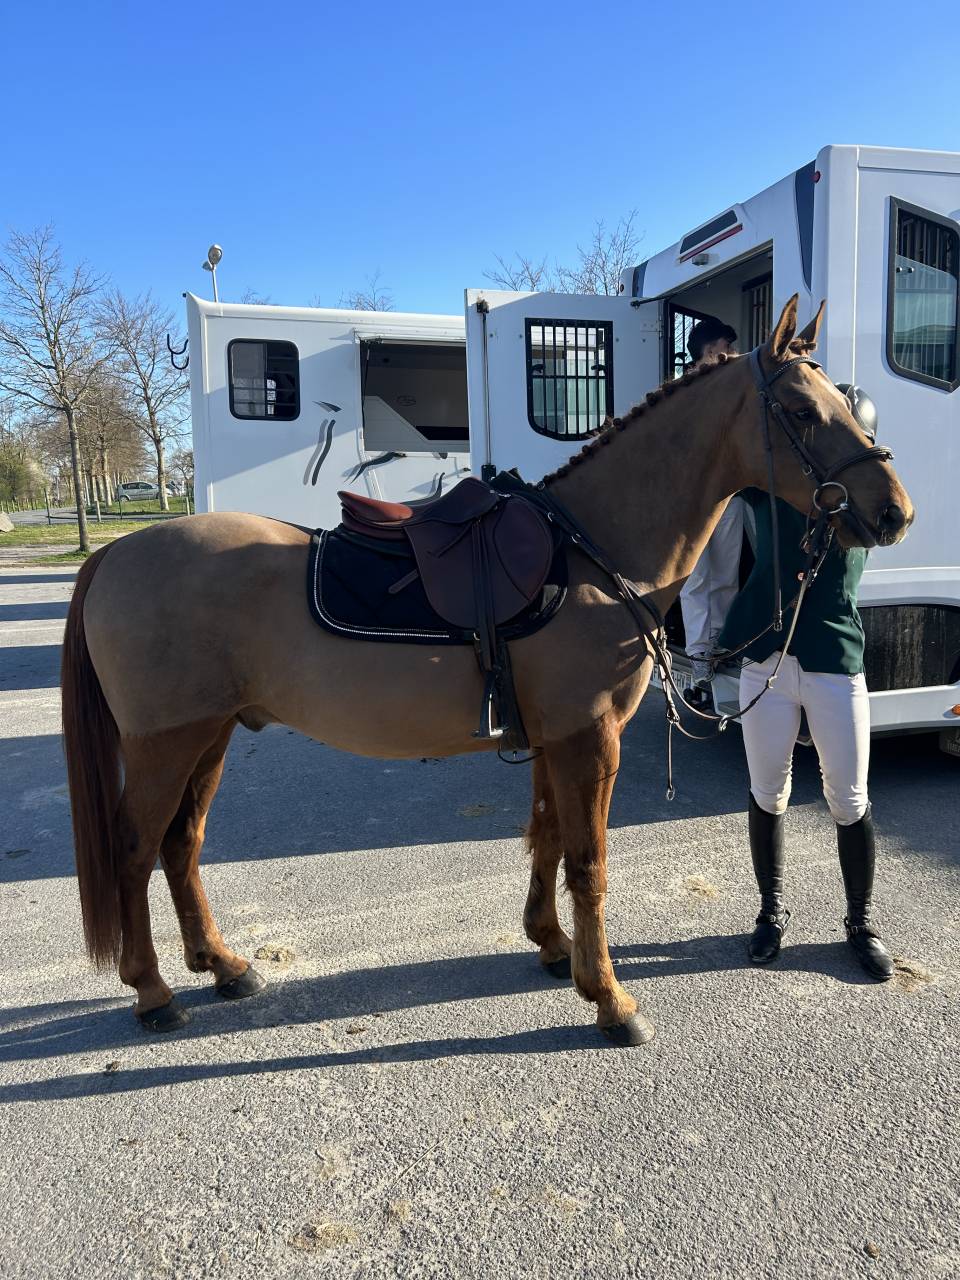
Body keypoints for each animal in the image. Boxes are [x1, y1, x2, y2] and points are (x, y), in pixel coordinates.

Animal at [61, 296, 913, 1046]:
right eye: (801, 411)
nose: (894, 512)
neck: (593, 552)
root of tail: (115, 556)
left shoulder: (552, 738)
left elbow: (545, 837)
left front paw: (553, 947)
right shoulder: (588, 738)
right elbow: (588, 862)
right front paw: (610, 1000)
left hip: (210, 736)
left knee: (181, 845)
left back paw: (223, 965)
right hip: (167, 743)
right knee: (135, 848)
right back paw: (153, 992)